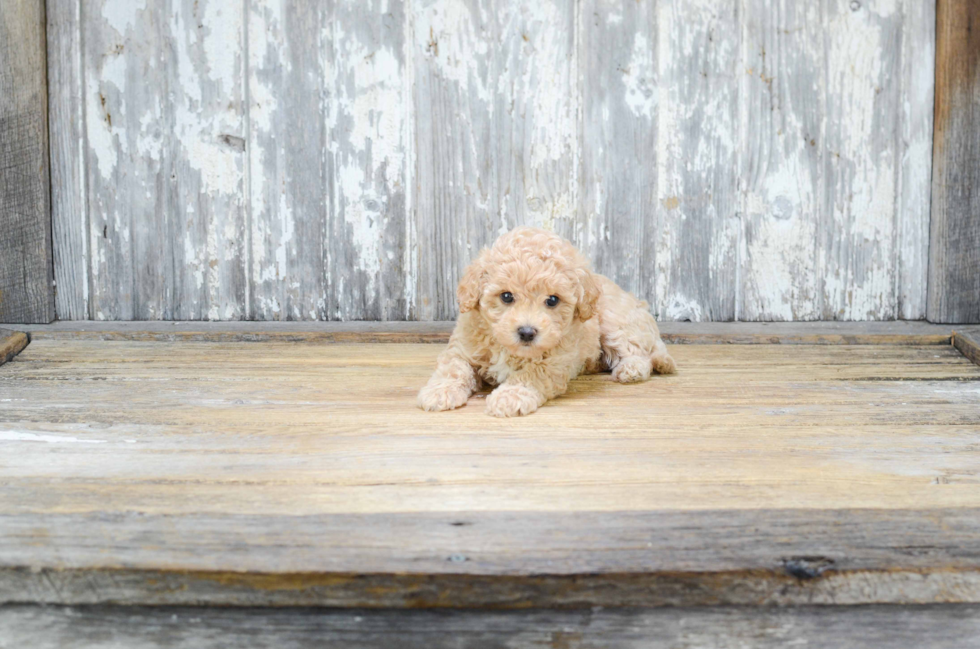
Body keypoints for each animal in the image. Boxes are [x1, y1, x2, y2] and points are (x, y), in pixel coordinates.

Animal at [414, 225, 672, 418]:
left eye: (552, 300)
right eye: (506, 296)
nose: (527, 332)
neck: (508, 348)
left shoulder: (556, 362)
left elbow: (530, 375)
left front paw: (510, 396)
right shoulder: (462, 347)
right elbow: (454, 368)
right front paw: (440, 391)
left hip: (614, 320)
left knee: (638, 352)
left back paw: (631, 369)